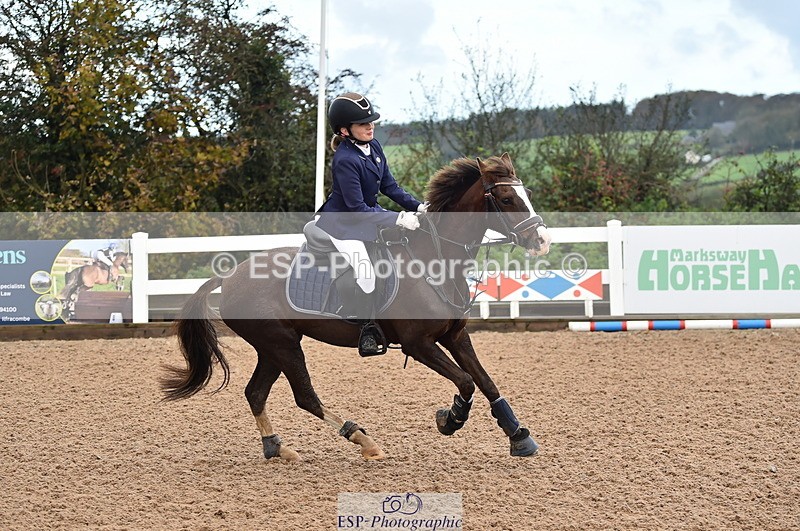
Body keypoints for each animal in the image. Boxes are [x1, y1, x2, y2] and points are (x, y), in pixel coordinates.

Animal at [162, 153, 552, 461]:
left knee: (255, 393)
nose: (543, 240)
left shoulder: (455, 336)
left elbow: (486, 382)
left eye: (528, 195)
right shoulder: (419, 344)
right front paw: (450, 419)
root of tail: (230, 277)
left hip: (273, 346)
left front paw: (519, 436)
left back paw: (277, 447)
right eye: (505, 198)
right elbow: (467, 382)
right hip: (280, 343)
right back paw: (362, 440)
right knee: (305, 396)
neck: (434, 257)